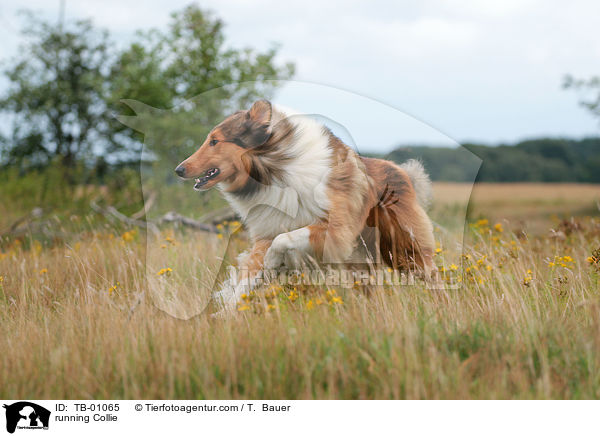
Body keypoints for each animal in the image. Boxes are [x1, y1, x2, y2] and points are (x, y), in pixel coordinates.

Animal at [175, 99, 436, 310]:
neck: (274, 171)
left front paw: (272, 261)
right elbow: (247, 279)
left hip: (405, 248)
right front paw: (226, 313)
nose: (179, 169)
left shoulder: (336, 230)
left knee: (430, 275)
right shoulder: (266, 231)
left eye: (214, 141)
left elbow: (284, 240)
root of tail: (402, 171)